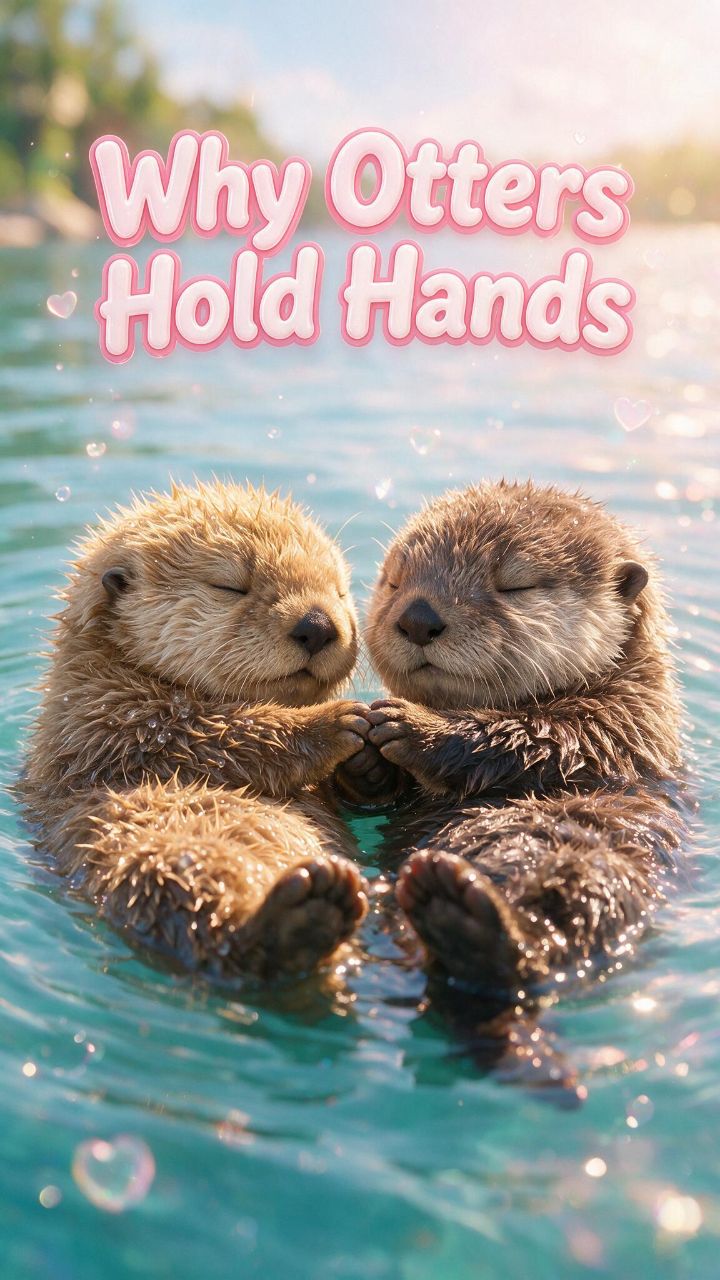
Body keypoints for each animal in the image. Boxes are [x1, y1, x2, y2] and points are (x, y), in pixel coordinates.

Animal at [20, 480, 370, 979]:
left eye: (339, 592)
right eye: (230, 586)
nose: (318, 624)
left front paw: (370, 755)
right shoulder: (103, 719)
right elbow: (208, 736)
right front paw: (339, 722)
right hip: (159, 853)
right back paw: (303, 912)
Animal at [348, 479, 686, 994]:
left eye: (515, 586)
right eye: (395, 580)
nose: (418, 618)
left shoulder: (629, 720)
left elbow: (541, 740)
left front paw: (411, 726)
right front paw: (363, 752)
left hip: (598, 867)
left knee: (553, 928)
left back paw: (465, 919)